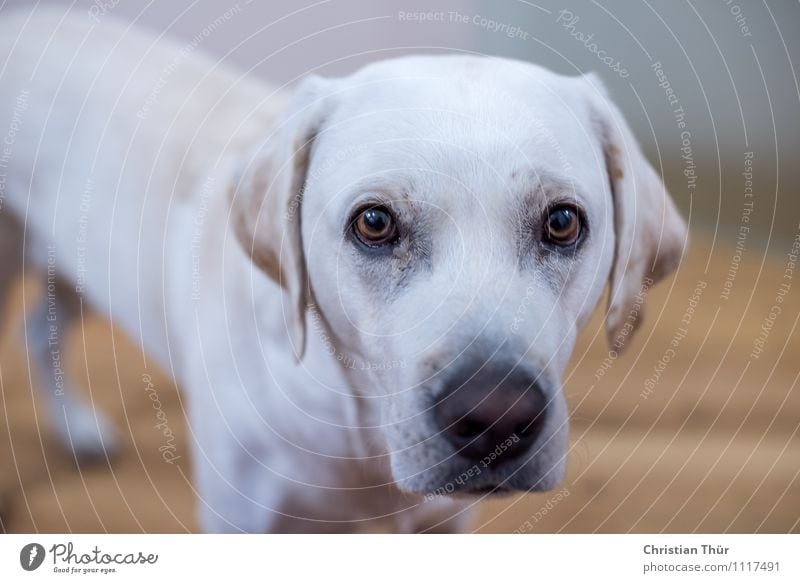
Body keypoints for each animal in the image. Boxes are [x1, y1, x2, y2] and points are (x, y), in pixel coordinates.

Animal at [0, 6, 688, 532]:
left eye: (563, 222)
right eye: (374, 223)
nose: (497, 416)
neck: (363, 436)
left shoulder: (444, 521)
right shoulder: (239, 521)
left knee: (39, 331)